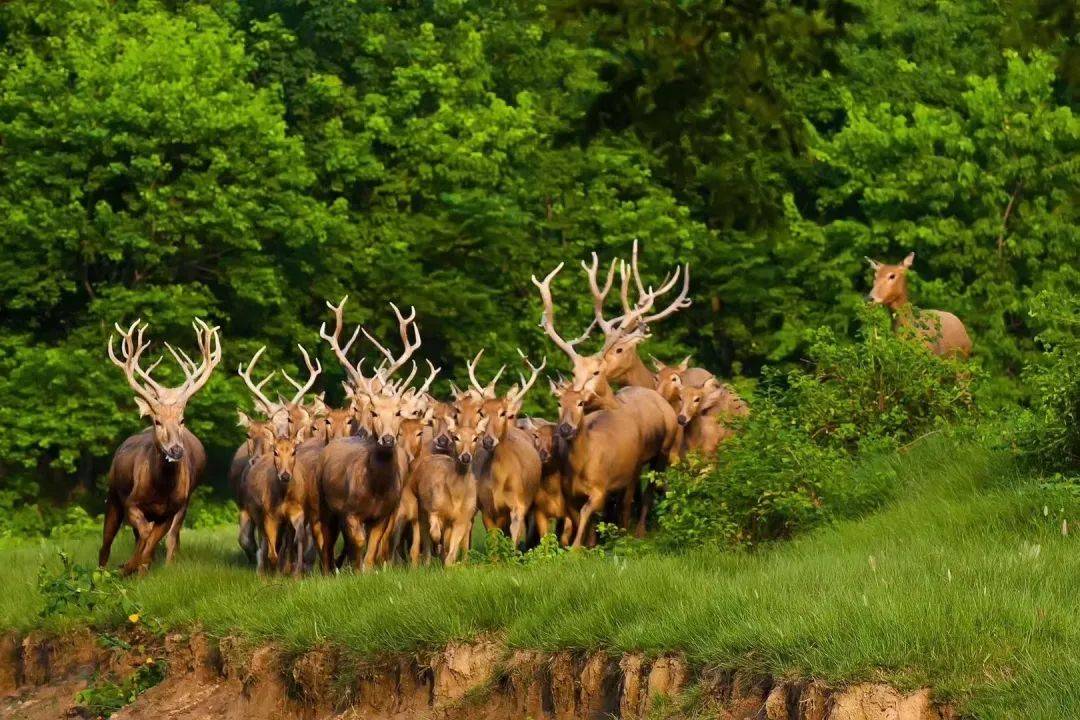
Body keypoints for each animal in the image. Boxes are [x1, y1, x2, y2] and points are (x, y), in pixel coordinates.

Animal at [99, 317, 221, 578]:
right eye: (157, 421)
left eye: (182, 420)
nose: (176, 450)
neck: (160, 489)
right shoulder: (132, 502)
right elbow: (145, 534)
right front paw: (126, 566)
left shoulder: (171, 509)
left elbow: (154, 539)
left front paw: (135, 566)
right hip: (113, 495)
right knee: (105, 544)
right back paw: (102, 573)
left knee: (168, 538)